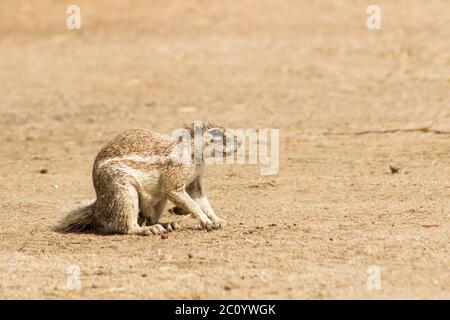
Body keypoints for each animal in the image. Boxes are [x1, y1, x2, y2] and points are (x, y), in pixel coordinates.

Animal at [57, 120, 243, 235]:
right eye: (217, 134)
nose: (240, 141)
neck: (193, 155)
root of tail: (98, 208)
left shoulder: (194, 183)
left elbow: (202, 201)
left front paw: (217, 219)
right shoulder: (175, 177)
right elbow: (191, 202)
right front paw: (205, 220)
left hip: (157, 201)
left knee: (150, 218)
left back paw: (167, 224)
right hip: (123, 192)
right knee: (126, 226)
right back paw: (146, 230)